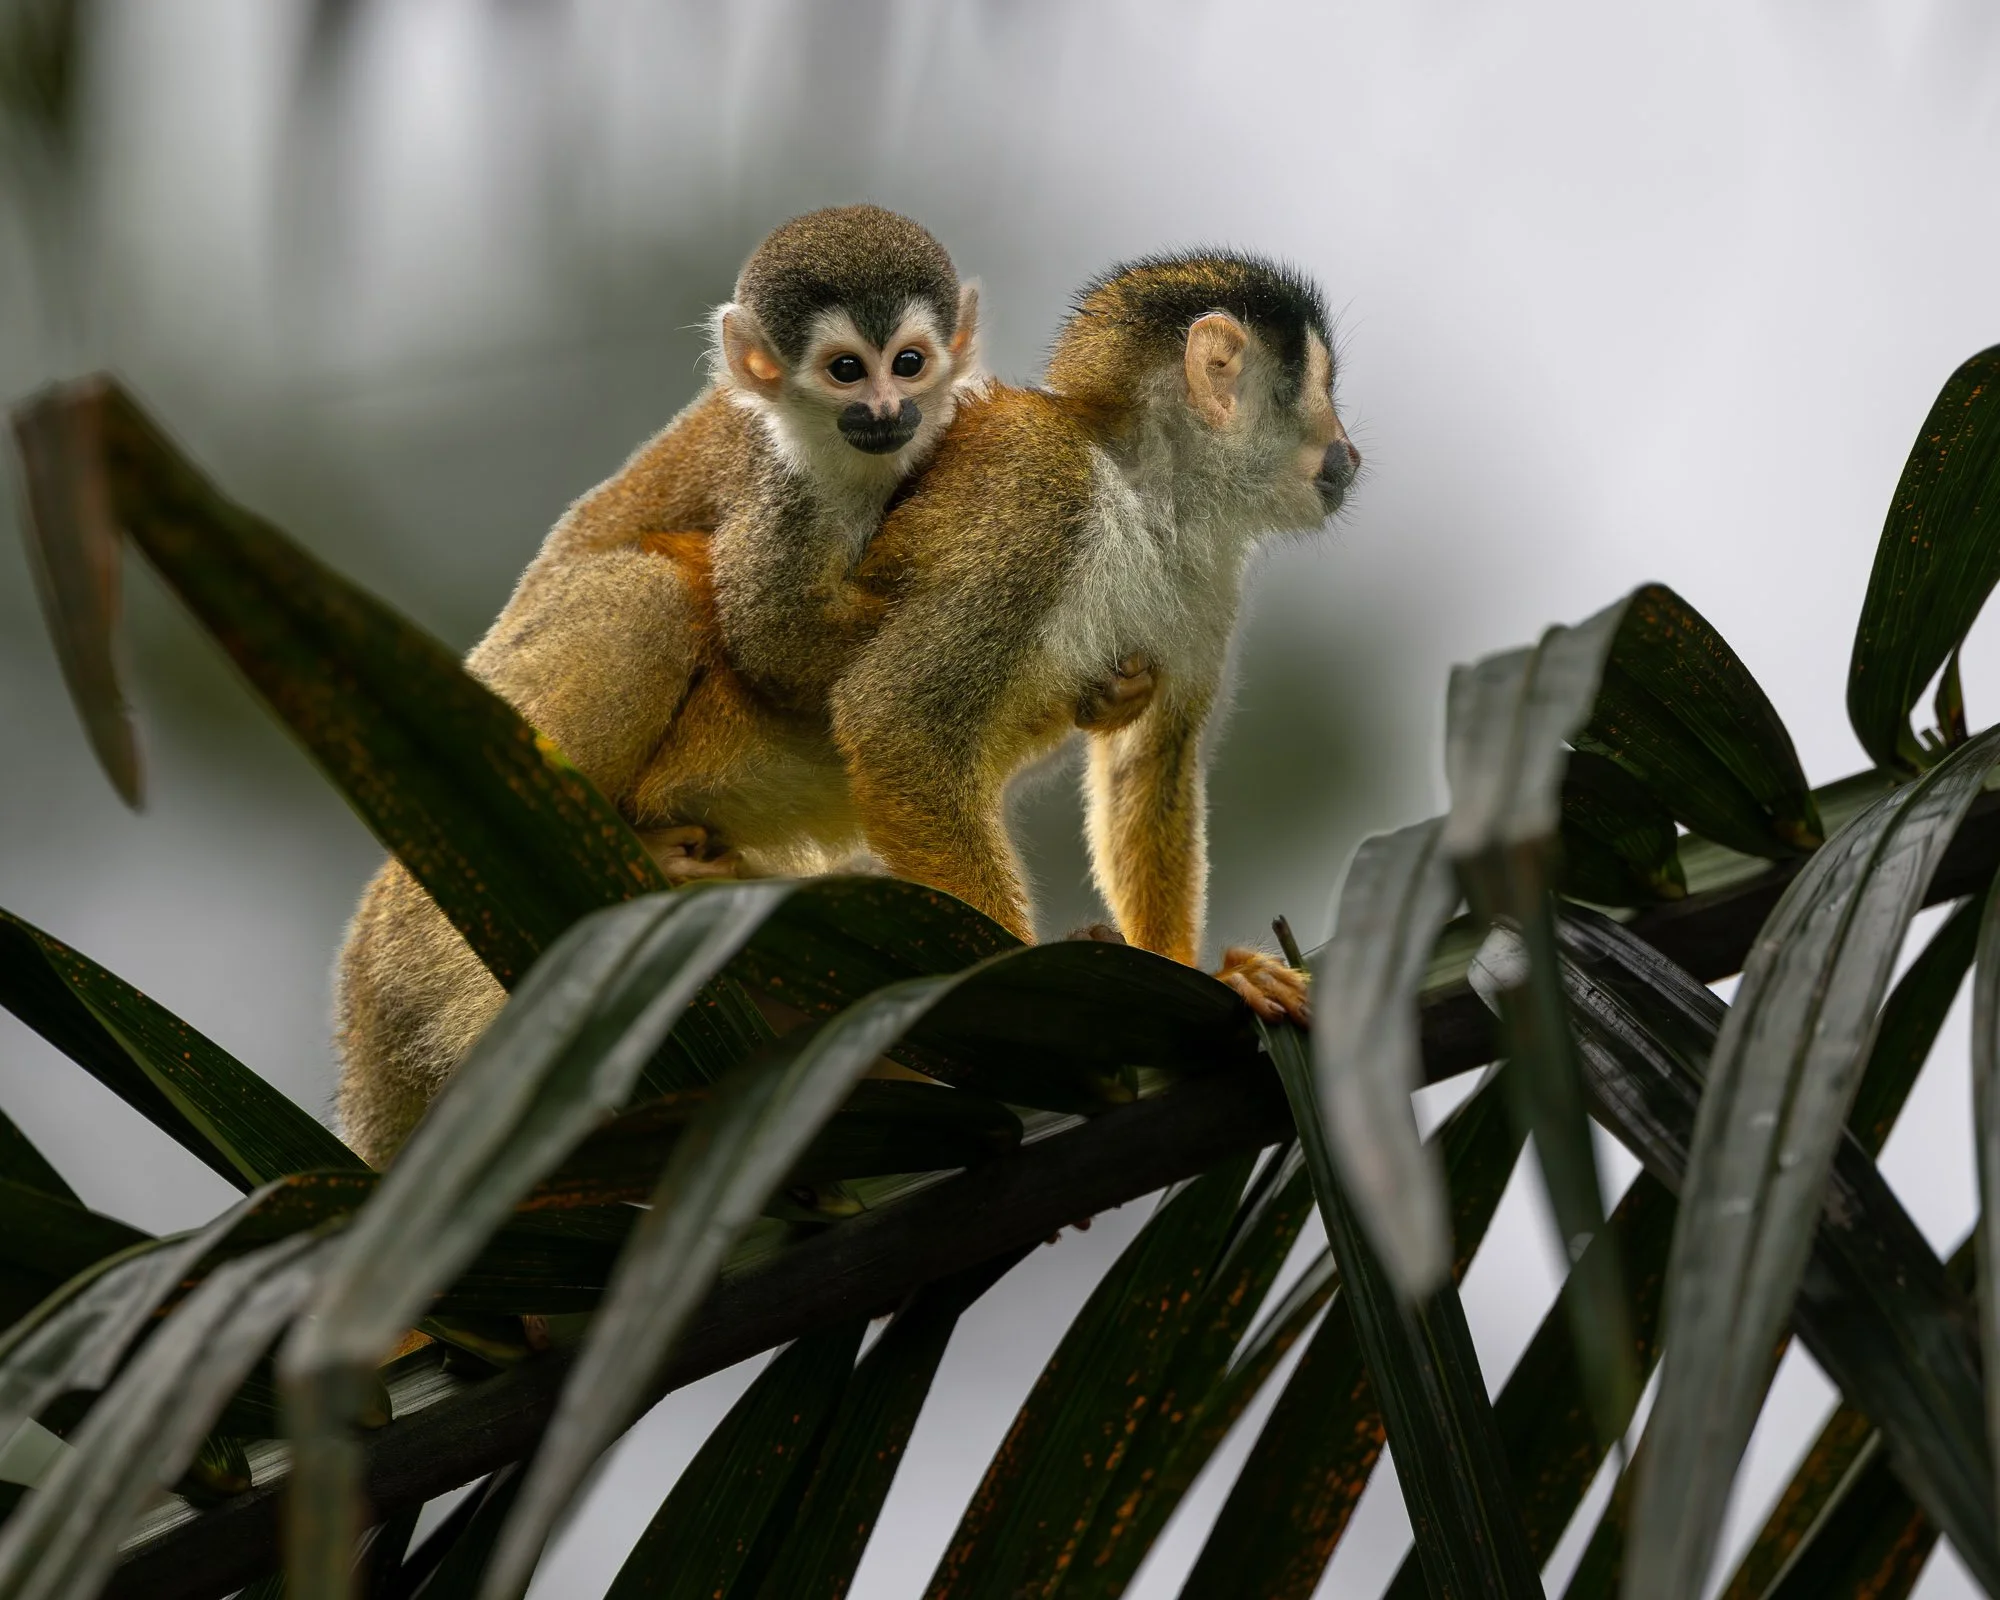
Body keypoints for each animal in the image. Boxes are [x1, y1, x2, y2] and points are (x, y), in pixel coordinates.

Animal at [829, 252, 1362, 1022]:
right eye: (1323, 390)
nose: (1349, 450)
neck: (1142, 491)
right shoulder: (1040, 492)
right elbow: (894, 723)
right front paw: (1000, 977)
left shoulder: (1205, 571)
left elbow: (1148, 760)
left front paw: (1197, 971)